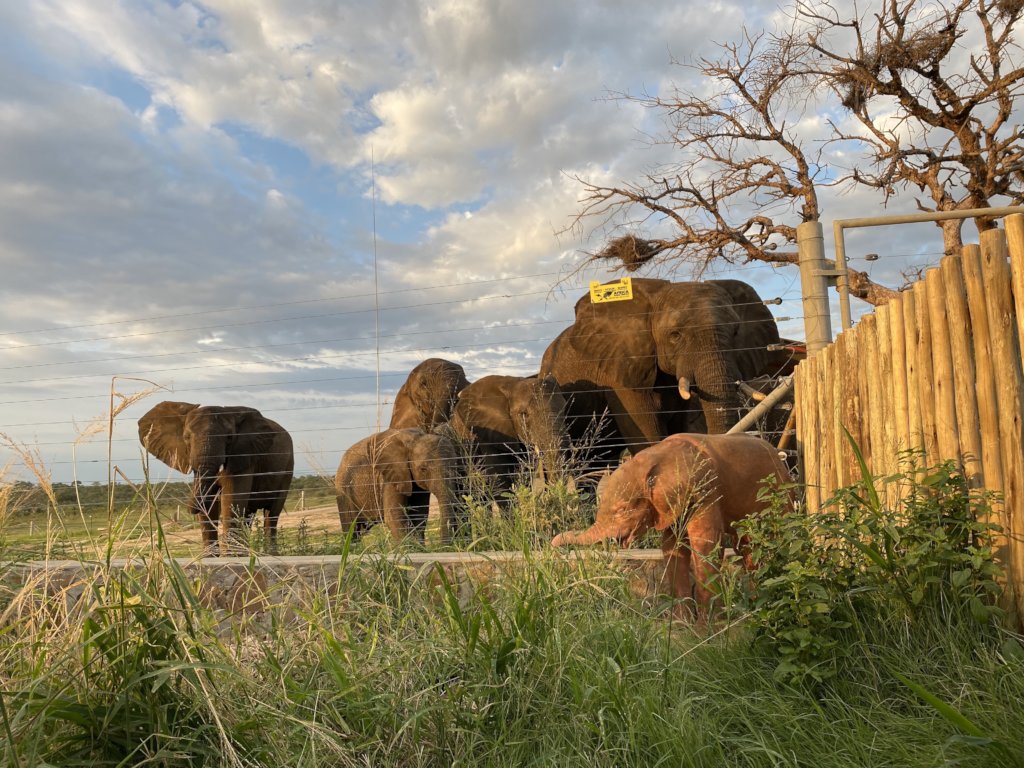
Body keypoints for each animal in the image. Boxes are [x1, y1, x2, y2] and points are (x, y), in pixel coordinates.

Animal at [138, 401, 294, 555]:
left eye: (229, 438)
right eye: (186, 437)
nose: (190, 510)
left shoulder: (243, 455)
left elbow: (232, 498)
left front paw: (232, 556)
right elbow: (210, 502)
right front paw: (211, 556)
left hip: (288, 467)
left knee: (271, 513)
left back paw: (269, 553)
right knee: (249, 514)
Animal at [551, 433, 790, 614]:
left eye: (622, 510)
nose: (553, 544)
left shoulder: (705, 490)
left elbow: (706, 544)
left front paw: (705, 631)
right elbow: (672, 548)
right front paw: (683, 625)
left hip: (780, 493)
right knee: (747, 546)